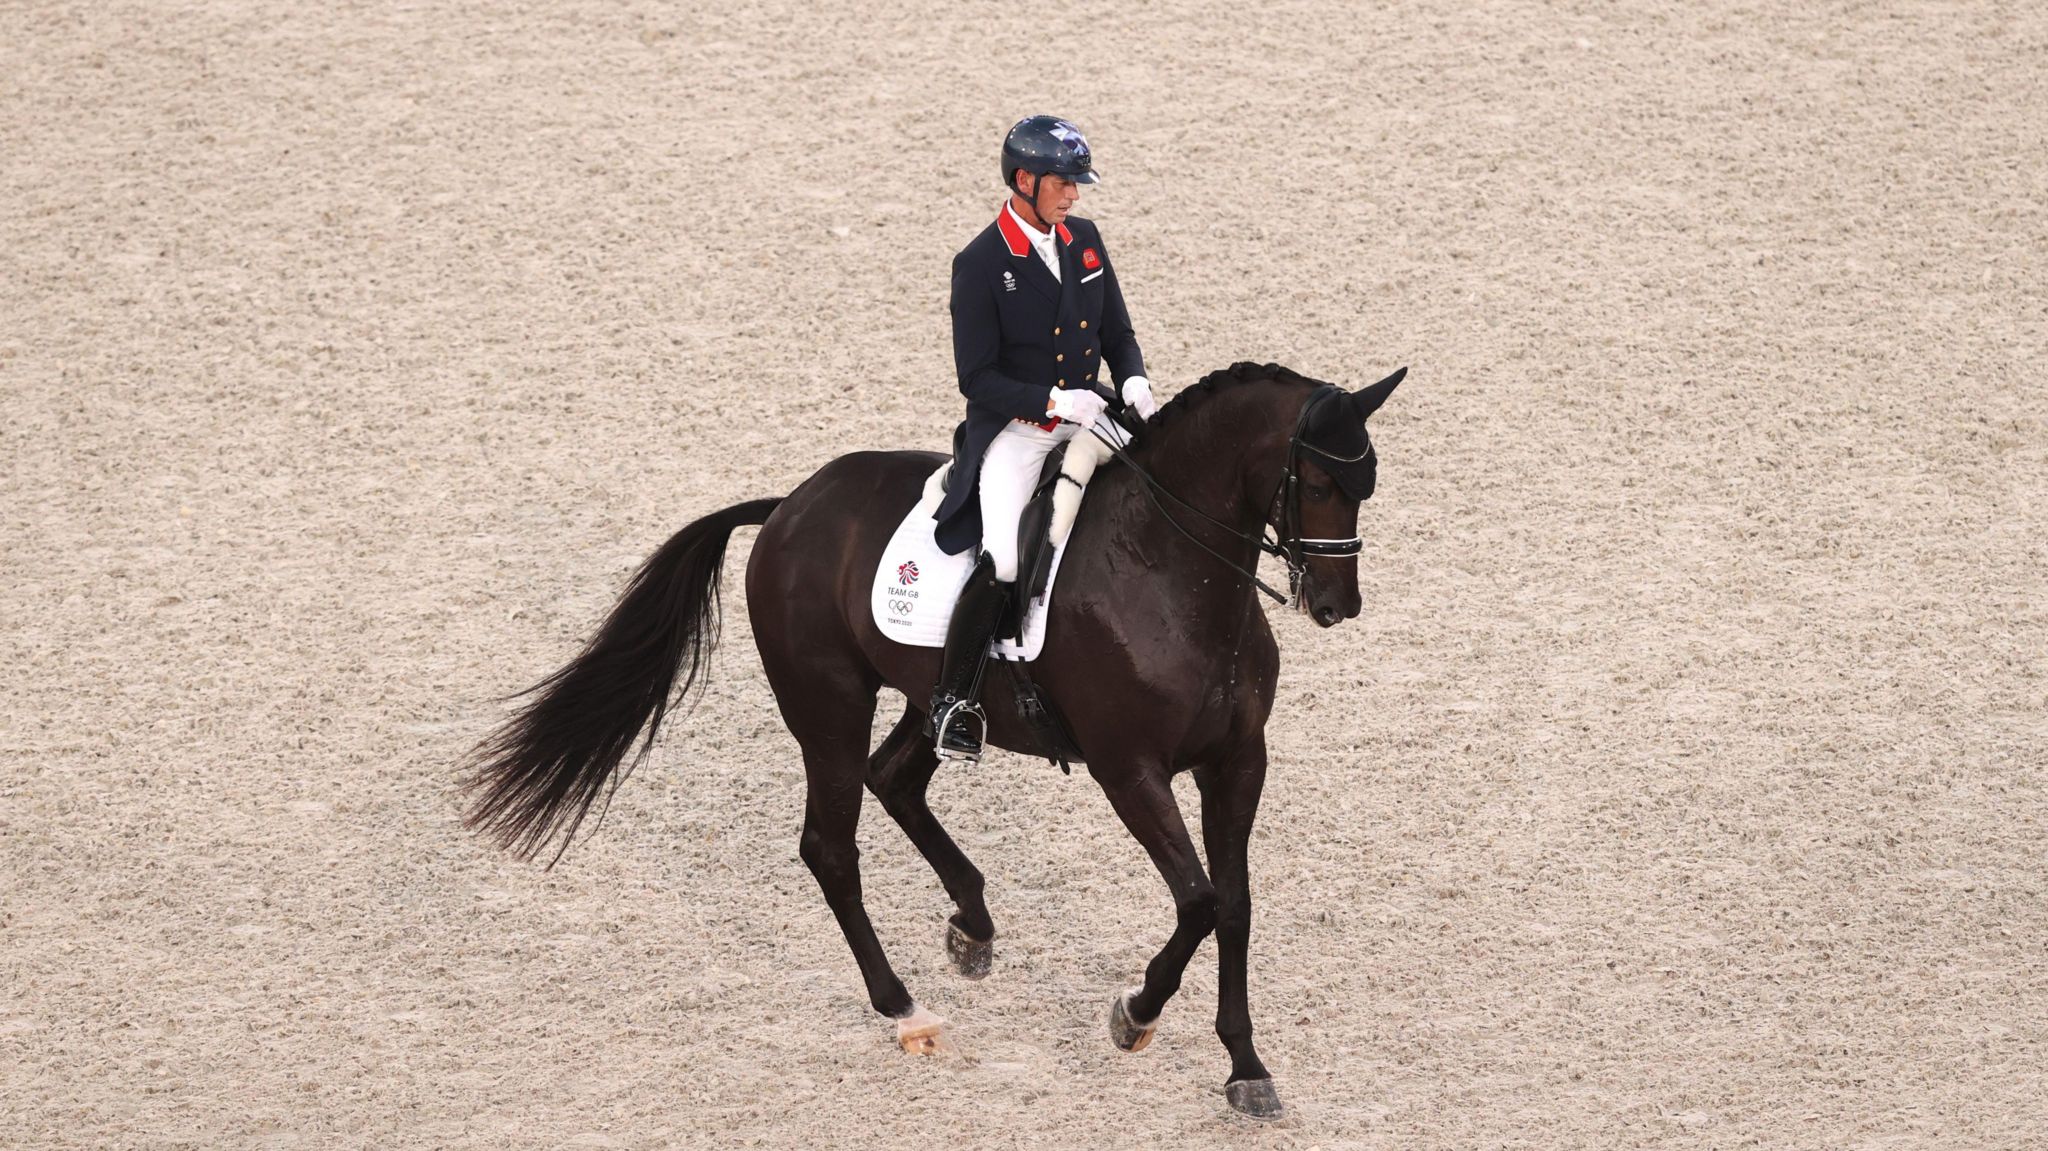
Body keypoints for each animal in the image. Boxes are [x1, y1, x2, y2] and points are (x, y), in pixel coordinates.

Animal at [466, 358, 1400, 1114]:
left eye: (1369, 483)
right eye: (1319, 481)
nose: (1336, 604)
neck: (1170, 569)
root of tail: (790, 507)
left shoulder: (1238, 761)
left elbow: (1235, 905)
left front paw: (1246, 1066)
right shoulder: (1129, 769)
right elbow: (1199, 900)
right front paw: (1132, 1014)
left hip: (929, 698)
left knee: (895, 779)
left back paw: (972, 927)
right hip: (828, 709)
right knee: (831, 845)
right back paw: (905, 1009)